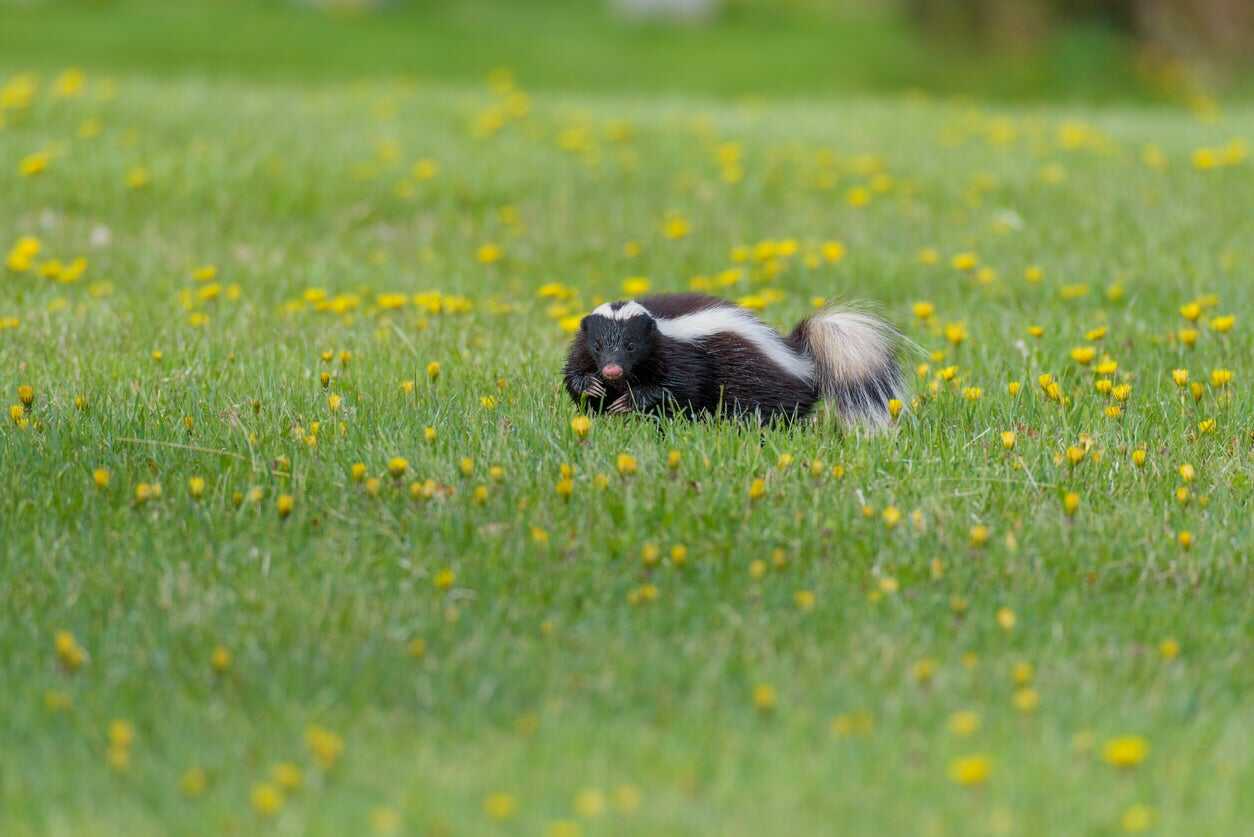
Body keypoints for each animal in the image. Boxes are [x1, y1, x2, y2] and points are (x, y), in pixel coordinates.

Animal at [564, 293, 907, 426]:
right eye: (598, 345)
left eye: (631, 345)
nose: (611, 369)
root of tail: (800, 357)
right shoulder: (582, 348)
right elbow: (573, 374)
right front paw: (591, 386)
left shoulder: (684, 354)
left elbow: (677, 385)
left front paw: (632, 400)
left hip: (755, 381)